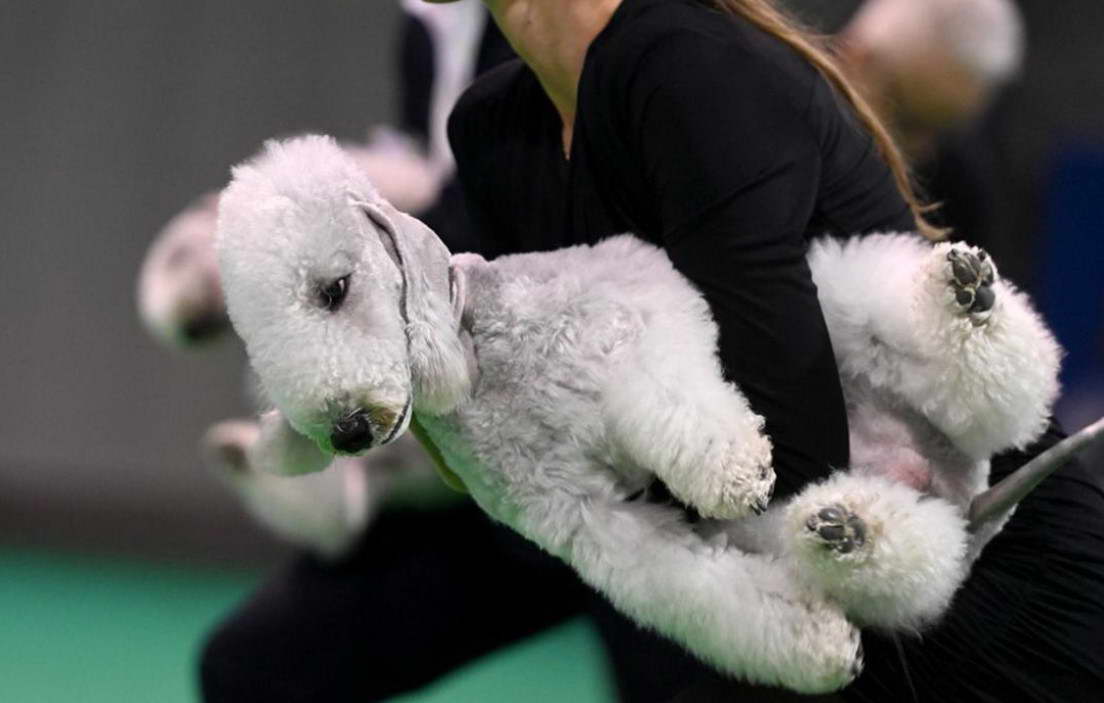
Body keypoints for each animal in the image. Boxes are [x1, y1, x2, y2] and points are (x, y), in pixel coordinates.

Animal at [217, 135, 1077, 693]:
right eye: (255, 341)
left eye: (334, 288)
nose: (347, 429)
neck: (486, 359)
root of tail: (965, 489)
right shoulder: (590, 519)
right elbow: (691, 586)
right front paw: (818, 646)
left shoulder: (646, 320)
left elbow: (676, 404)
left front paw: (732, 469)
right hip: (847, 519)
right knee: (915, 556)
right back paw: (852, 530)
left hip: (838, 300)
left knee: (994, 385)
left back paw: (968, 301)